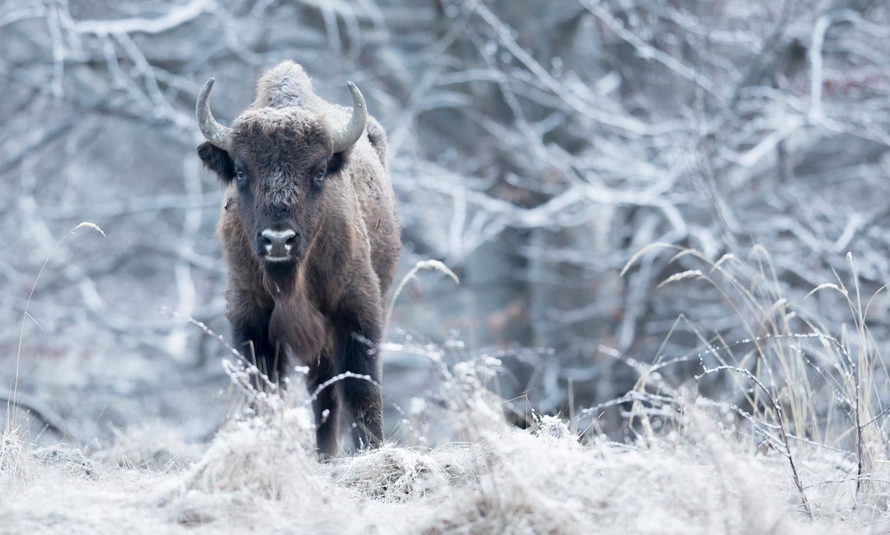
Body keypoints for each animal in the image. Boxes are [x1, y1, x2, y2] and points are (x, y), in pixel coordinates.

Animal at [195, 61, 401, 457]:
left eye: (318, 172)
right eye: (240, 171)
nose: (279, 240)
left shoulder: (357, 312)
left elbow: (361, 389)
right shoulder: (252, 319)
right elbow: (265, 391)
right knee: (323, 394)